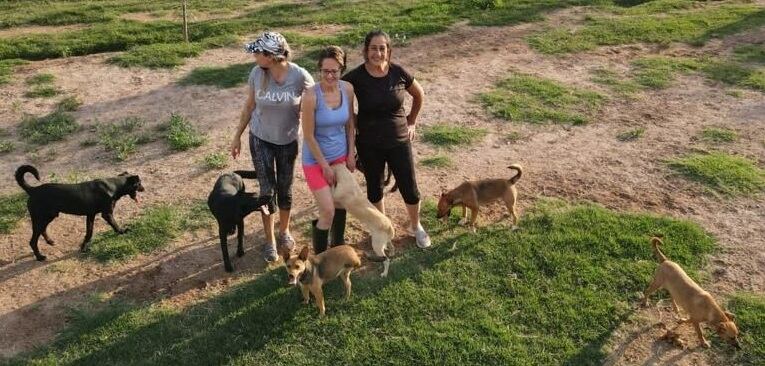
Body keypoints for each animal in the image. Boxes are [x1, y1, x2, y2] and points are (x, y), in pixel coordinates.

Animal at [15, 163, 145, 260]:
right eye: (139, 183)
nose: (144, 189)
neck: (114, 185)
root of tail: (33, 190)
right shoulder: (107, 214)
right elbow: (115, 225)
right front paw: (122, 231)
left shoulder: (90, 215)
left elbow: (89, 233)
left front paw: (83, 247)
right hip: (41, 218)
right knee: (33, 241)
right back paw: (40, 257)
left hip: (47, 217)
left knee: (42, 231)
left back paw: (50, 241)